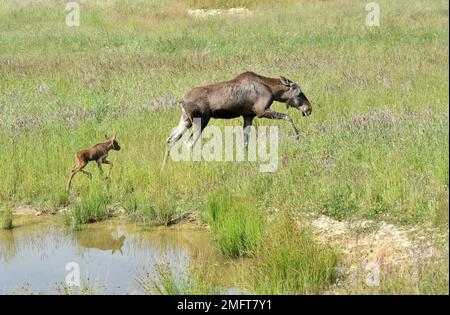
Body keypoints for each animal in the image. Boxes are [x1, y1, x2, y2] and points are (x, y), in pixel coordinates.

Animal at [162, 72, 312, 170]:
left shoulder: (248, 116)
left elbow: (245, 141)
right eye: (299, 93)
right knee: (189, 143)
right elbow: (288, 116)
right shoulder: (262, 111)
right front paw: (297, 136)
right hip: (201, 121)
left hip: (186, 120)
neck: (271, 90)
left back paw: (164, 168)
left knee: (171, 139)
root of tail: (181, 101)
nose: (309, 109)